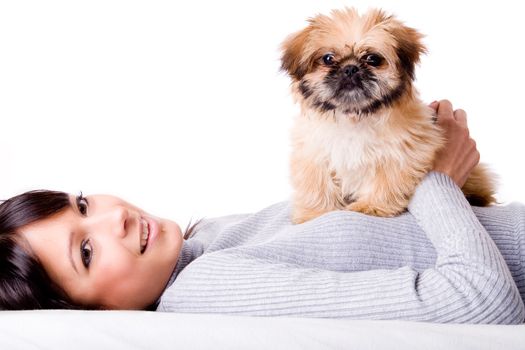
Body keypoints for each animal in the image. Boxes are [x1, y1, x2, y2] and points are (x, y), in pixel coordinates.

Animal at [280, 7, 494, 224]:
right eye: (328, 59)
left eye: (373, 59)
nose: (350, 68)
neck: (354, 118)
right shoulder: (312, 155)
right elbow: (317, 185)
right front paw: (316, 213)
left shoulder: (404, 151)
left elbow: (387, 180)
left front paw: (371, 206)